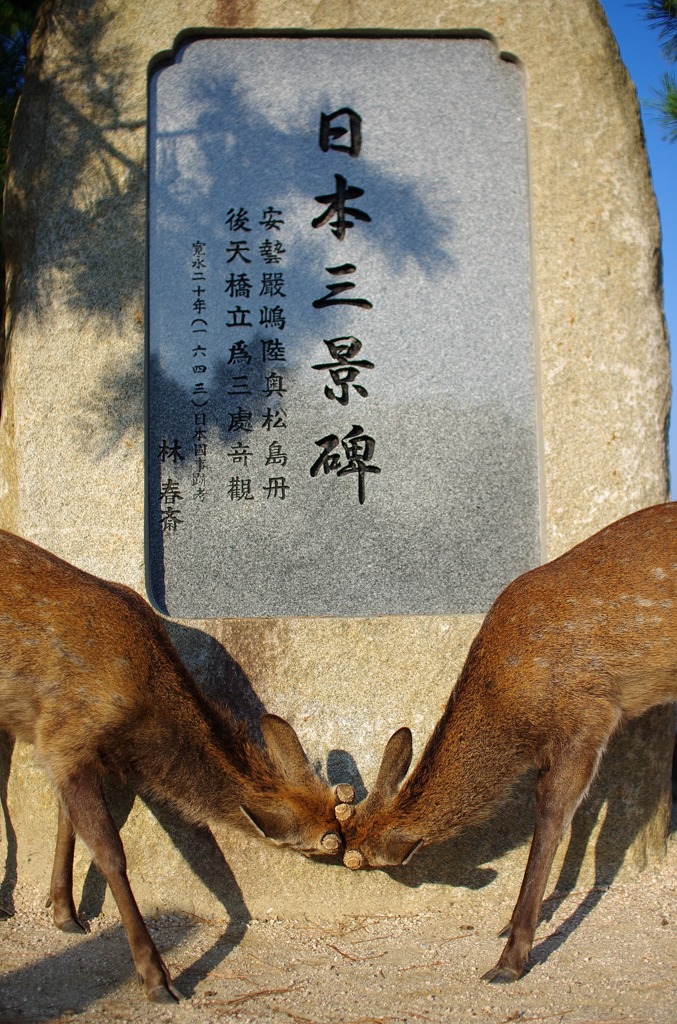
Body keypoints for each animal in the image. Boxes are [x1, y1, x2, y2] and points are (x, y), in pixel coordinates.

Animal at [0, 528, 354, 999]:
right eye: (323, 841)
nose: (352, 850)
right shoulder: (63, 734)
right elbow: (111, 852)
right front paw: (157, 979)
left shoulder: (71, 752)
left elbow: (66, 824)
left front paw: (65, 914)